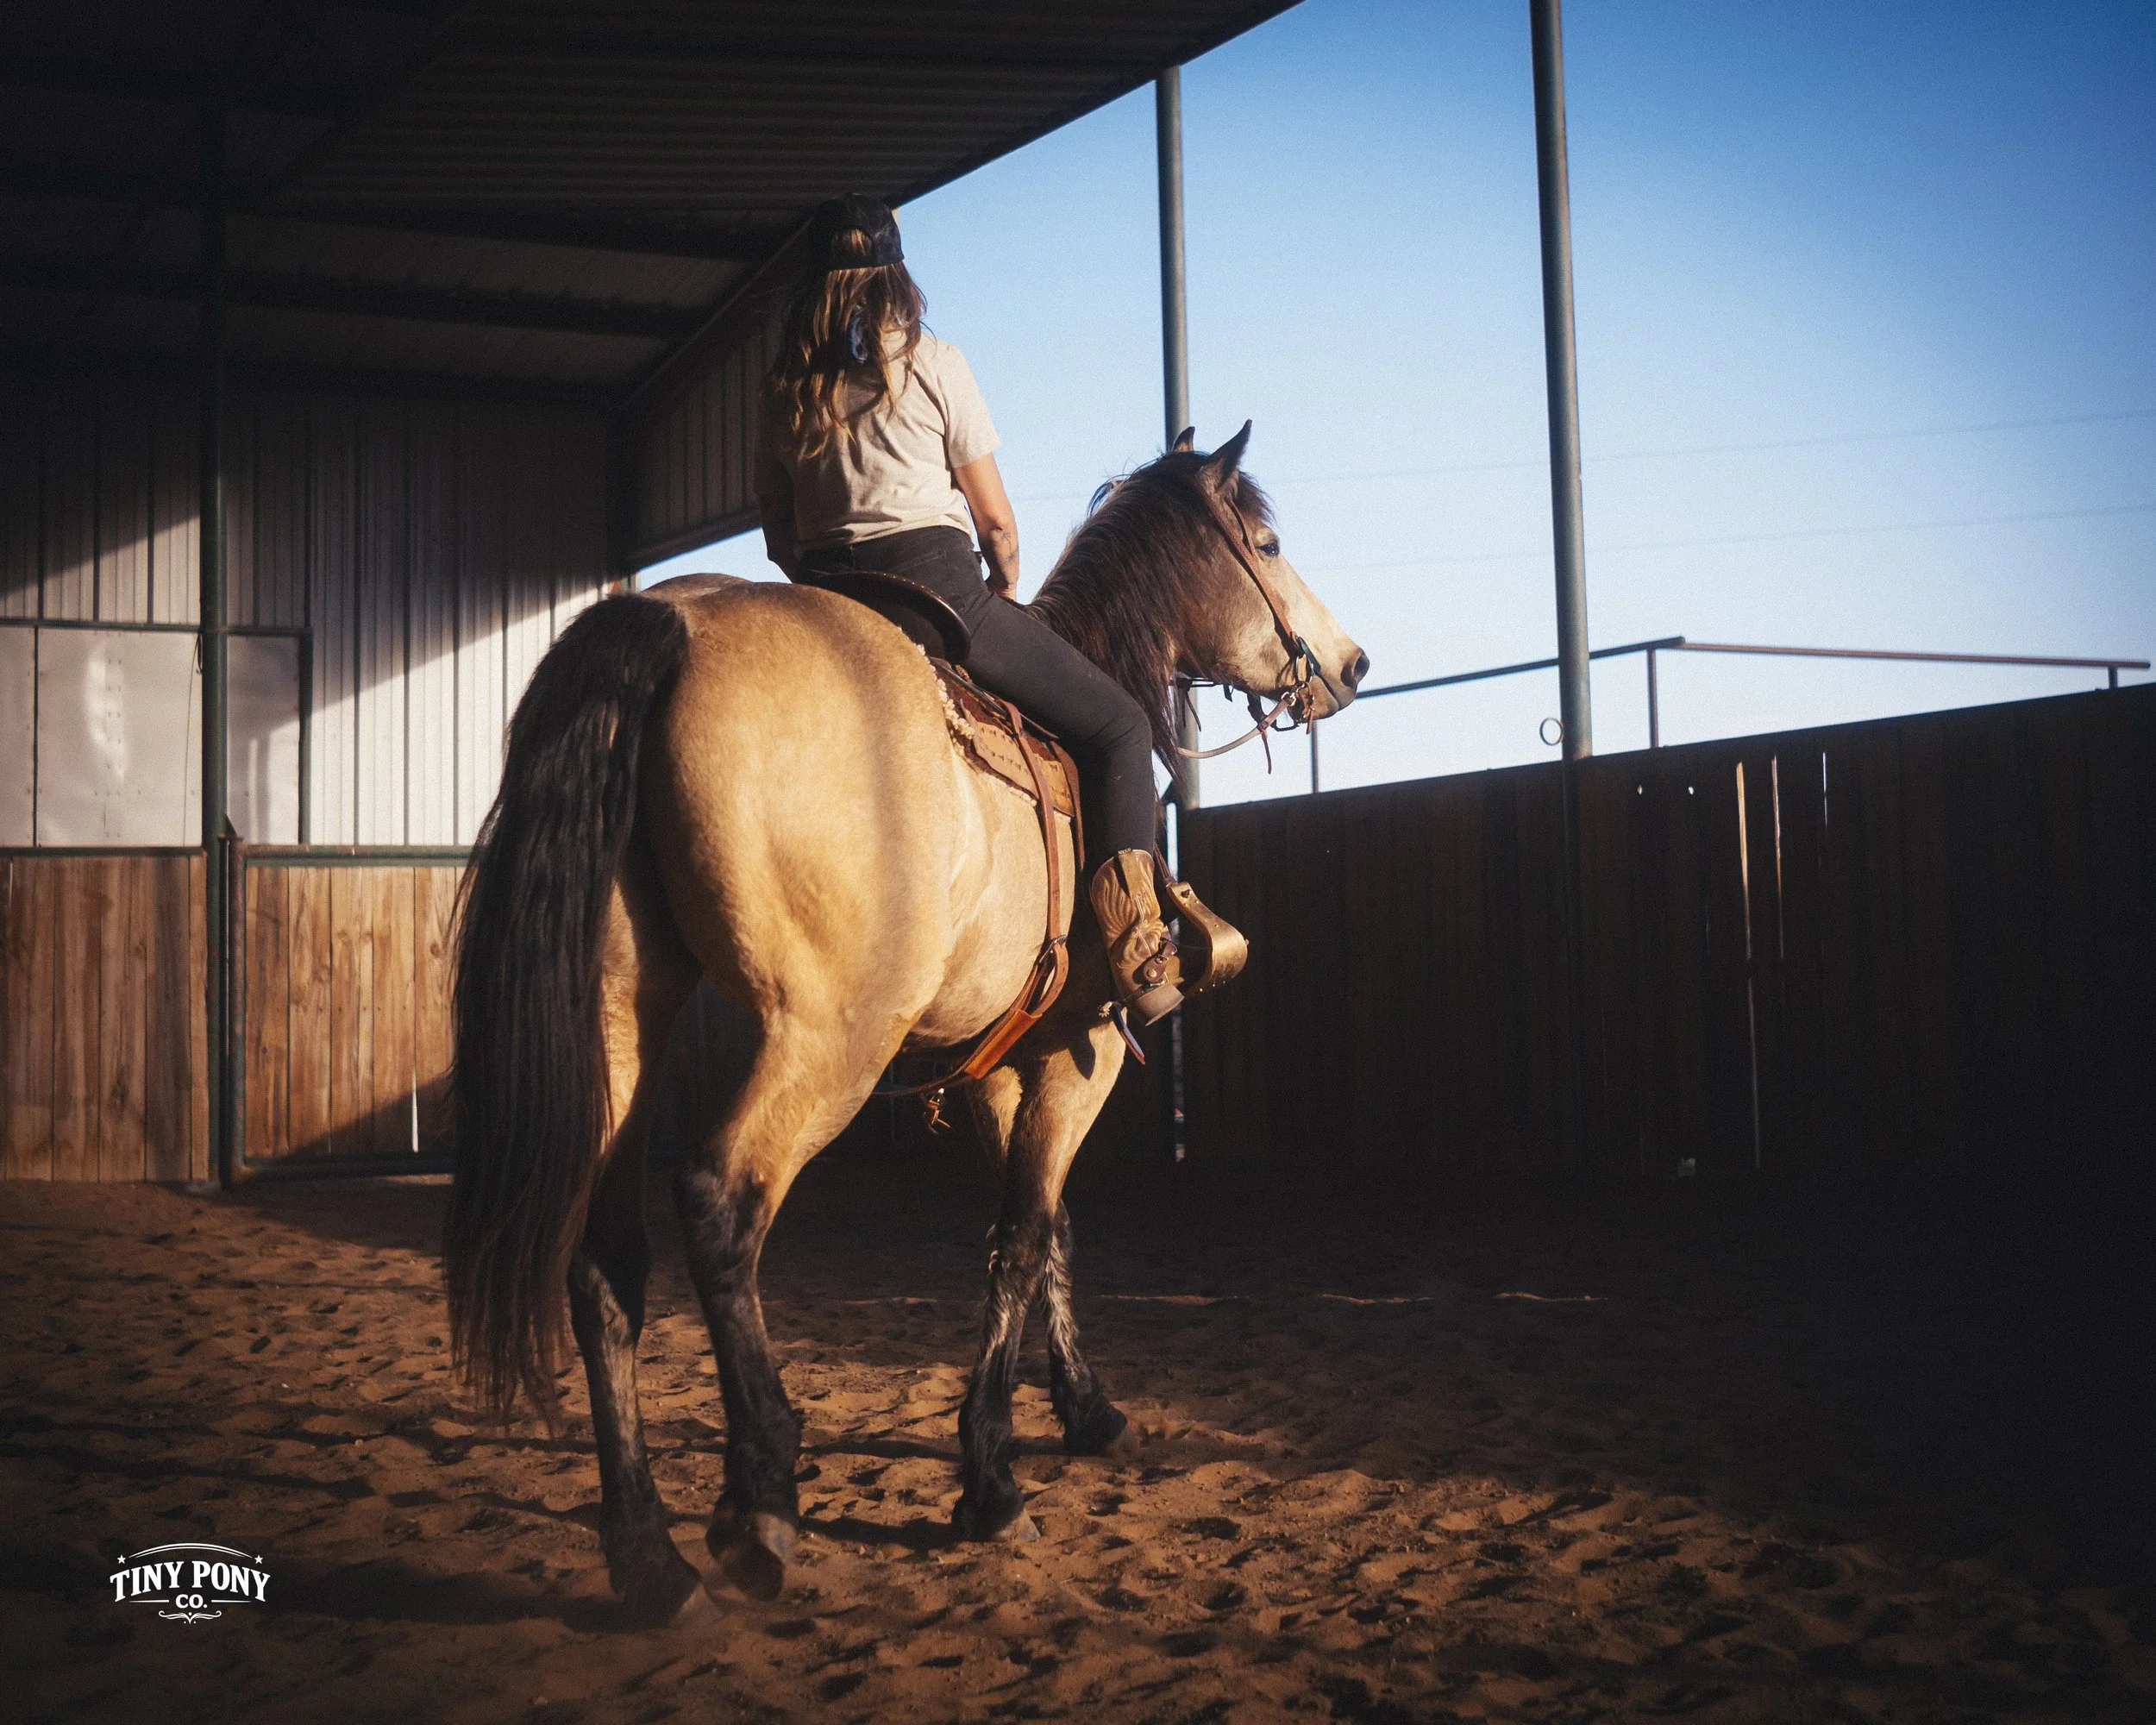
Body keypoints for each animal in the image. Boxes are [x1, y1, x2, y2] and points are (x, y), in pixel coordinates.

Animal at [442, 421, 1369, 1622]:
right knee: (720, 1201)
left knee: (604, 1256)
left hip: (621, 1021)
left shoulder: (1000, 1070)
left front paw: (1085, 1409)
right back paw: (760, 1500)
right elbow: (1020, 1238)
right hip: (827, 1039)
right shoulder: (1084, 1057)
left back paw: (650, 1556)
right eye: (1263, 542)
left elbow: (1046, 1230)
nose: (1349, 665)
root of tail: (671, 619)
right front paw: (990, 1479)